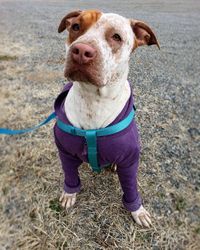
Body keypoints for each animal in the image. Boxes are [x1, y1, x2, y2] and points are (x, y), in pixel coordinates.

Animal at [53, 9, 159, 227]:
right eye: (76, 26)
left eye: (116, 37)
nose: (81, 51)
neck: (94, 100)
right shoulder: (64, 153)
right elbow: (70, 174)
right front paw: (69, 194)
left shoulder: (130, 162)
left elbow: (130, 187)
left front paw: (137, 211)